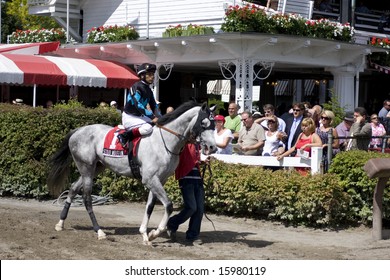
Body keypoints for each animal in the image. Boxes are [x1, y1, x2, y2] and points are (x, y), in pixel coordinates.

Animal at [47, 100, 216, 243]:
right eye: (204, 123)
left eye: (214, 125)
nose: (213, 147)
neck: (165, 141)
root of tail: (78, 130)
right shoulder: (150, 179)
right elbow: (168, 205)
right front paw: (155, 233)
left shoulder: (159, 179)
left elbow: (149, 207)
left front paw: (145, 234)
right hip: (86, 168)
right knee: (87, 198)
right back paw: (99, 231)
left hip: (95, 168)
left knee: (73, 188)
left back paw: (60, 223)